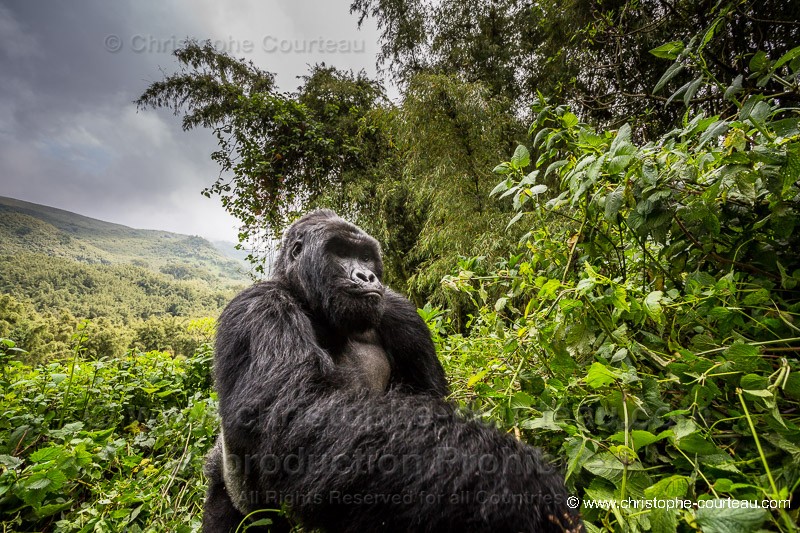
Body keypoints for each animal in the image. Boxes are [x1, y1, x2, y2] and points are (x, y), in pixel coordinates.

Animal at [200, 210, 580, 528]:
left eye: (367, 256)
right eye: (340, 252)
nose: (366, 274)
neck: (316, 309)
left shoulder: (402, 313)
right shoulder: (258, 310)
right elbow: (296, 413)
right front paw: (516, 480)